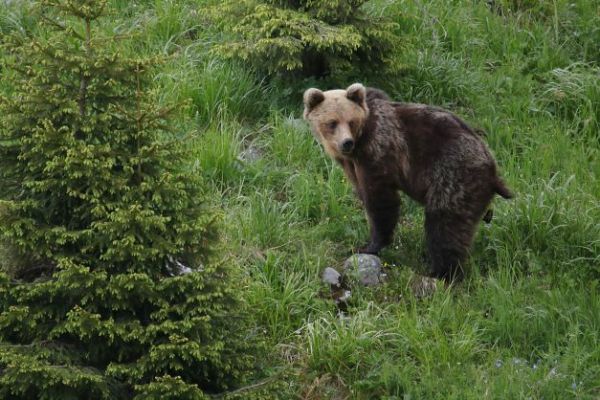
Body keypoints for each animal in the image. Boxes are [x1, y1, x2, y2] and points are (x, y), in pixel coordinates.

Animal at [302, 83, 512, 280]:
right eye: (332, 123)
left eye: (351, 122)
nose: (346, 142)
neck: (358, 145)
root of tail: (493, 170)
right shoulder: (353, 163)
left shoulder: (378, 151)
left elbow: (381, 200)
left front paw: (369, 245)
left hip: (455, 176)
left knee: (445, 224)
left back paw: (441, 272)